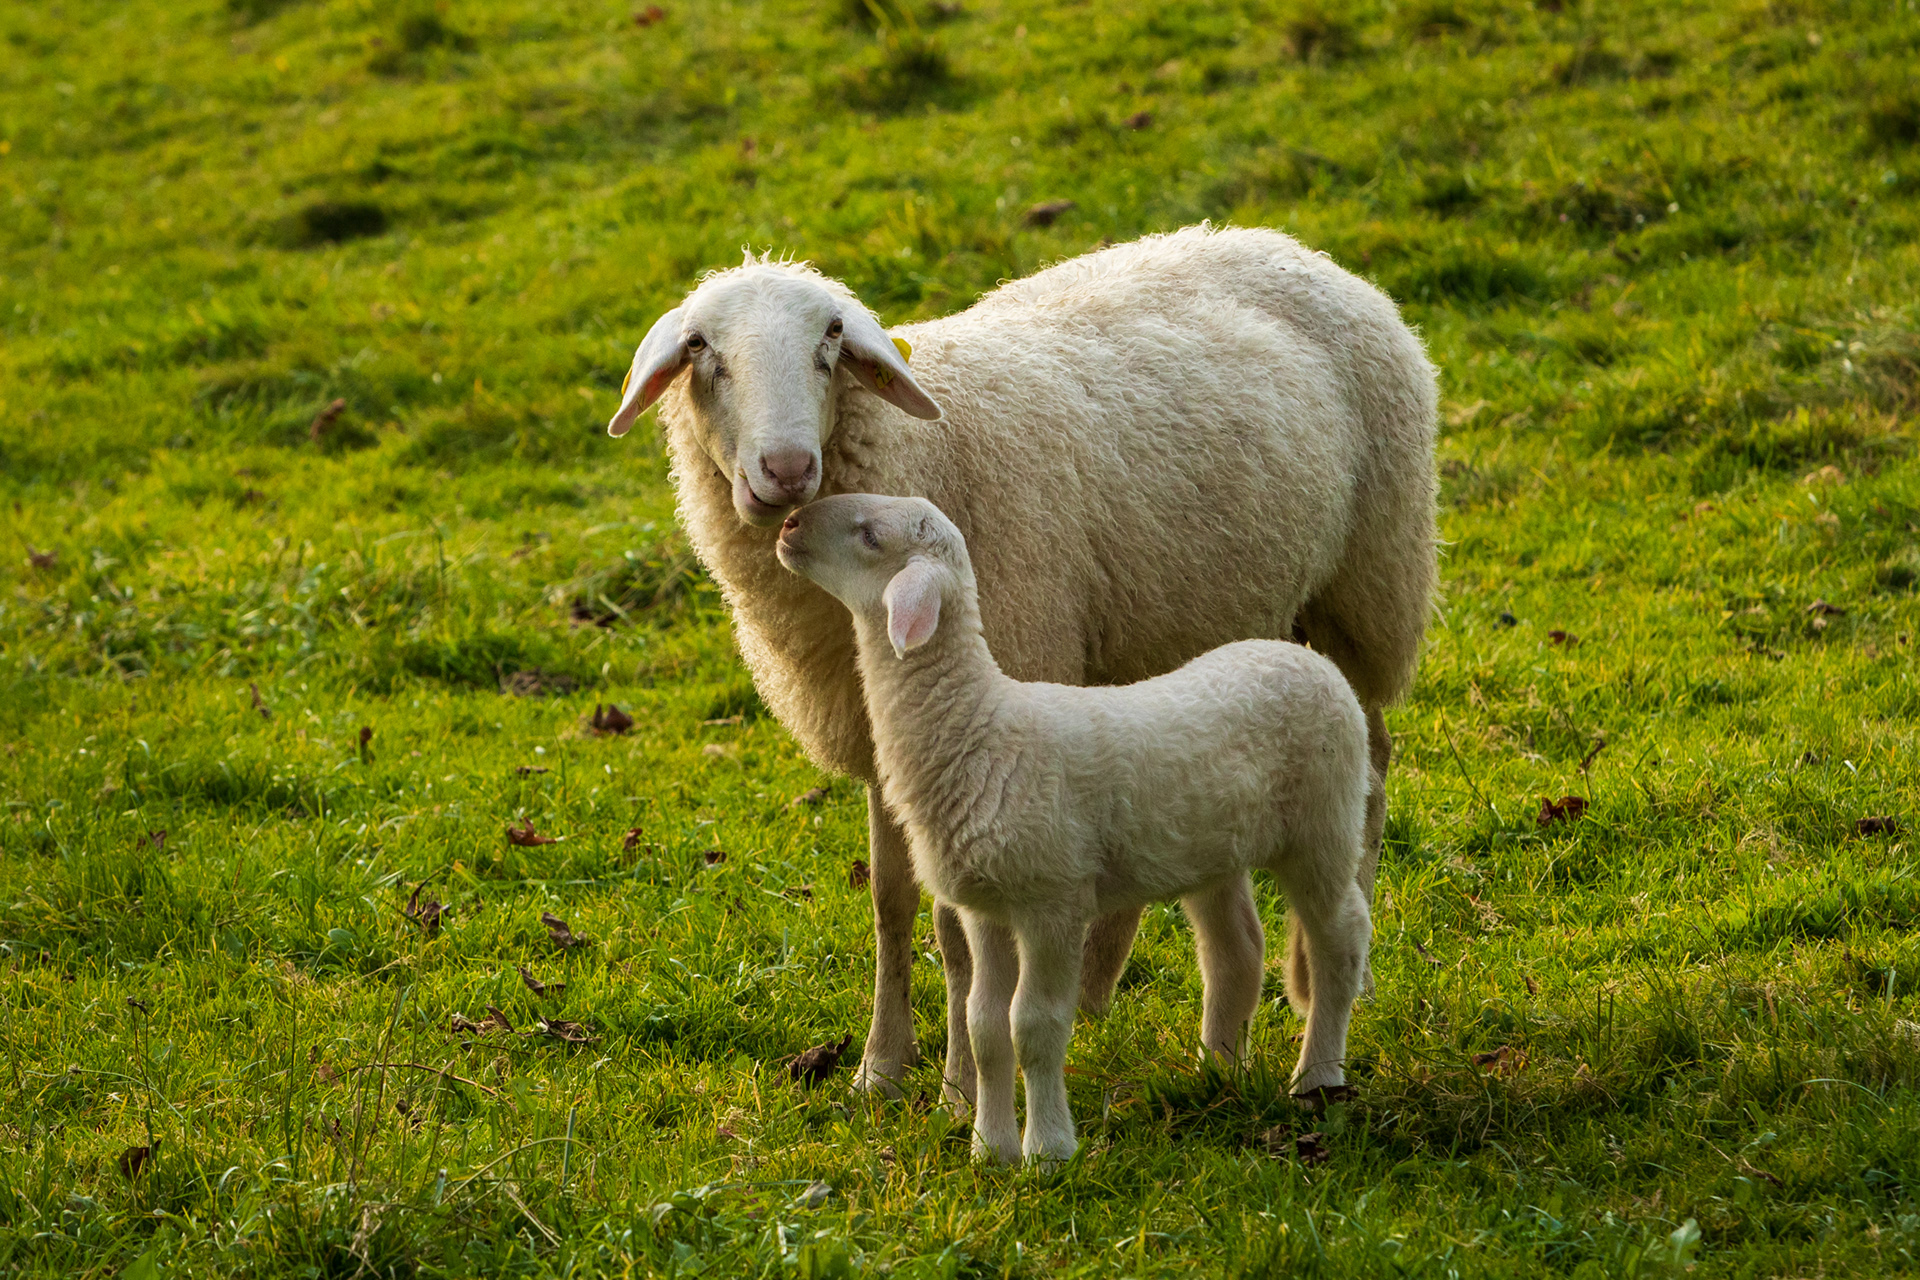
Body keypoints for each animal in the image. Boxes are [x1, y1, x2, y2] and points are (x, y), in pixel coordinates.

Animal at [774, 493, 1373, 1163]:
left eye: (871, 536)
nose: (789, 525)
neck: (978, 726)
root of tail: (1309, 659)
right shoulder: (987, 908)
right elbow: (985, 1026)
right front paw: (990, 1150)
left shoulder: (1052, 901)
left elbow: (1034, 1024)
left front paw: (1048, 1152)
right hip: (1212, 848)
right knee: (1236, 952)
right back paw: (1216, 1073)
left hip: (1323, 823)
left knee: (1340, 938)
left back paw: (1316, 1076)